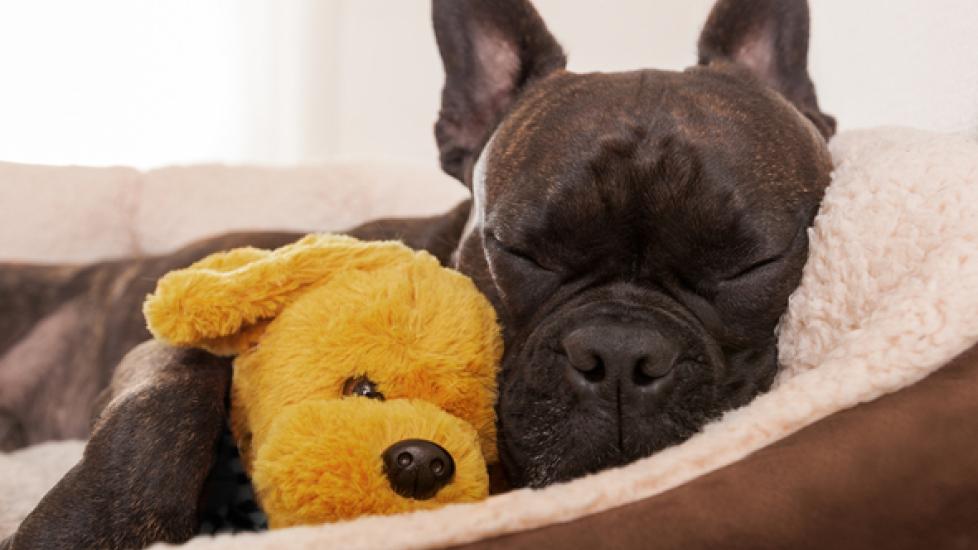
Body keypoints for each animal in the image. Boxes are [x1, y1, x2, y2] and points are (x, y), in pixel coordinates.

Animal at [3, 0, 836, 548]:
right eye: (520, 252)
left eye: (750, 263)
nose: (622, 356)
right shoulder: (168, 348)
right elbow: (163, 408)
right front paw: (83, 528)